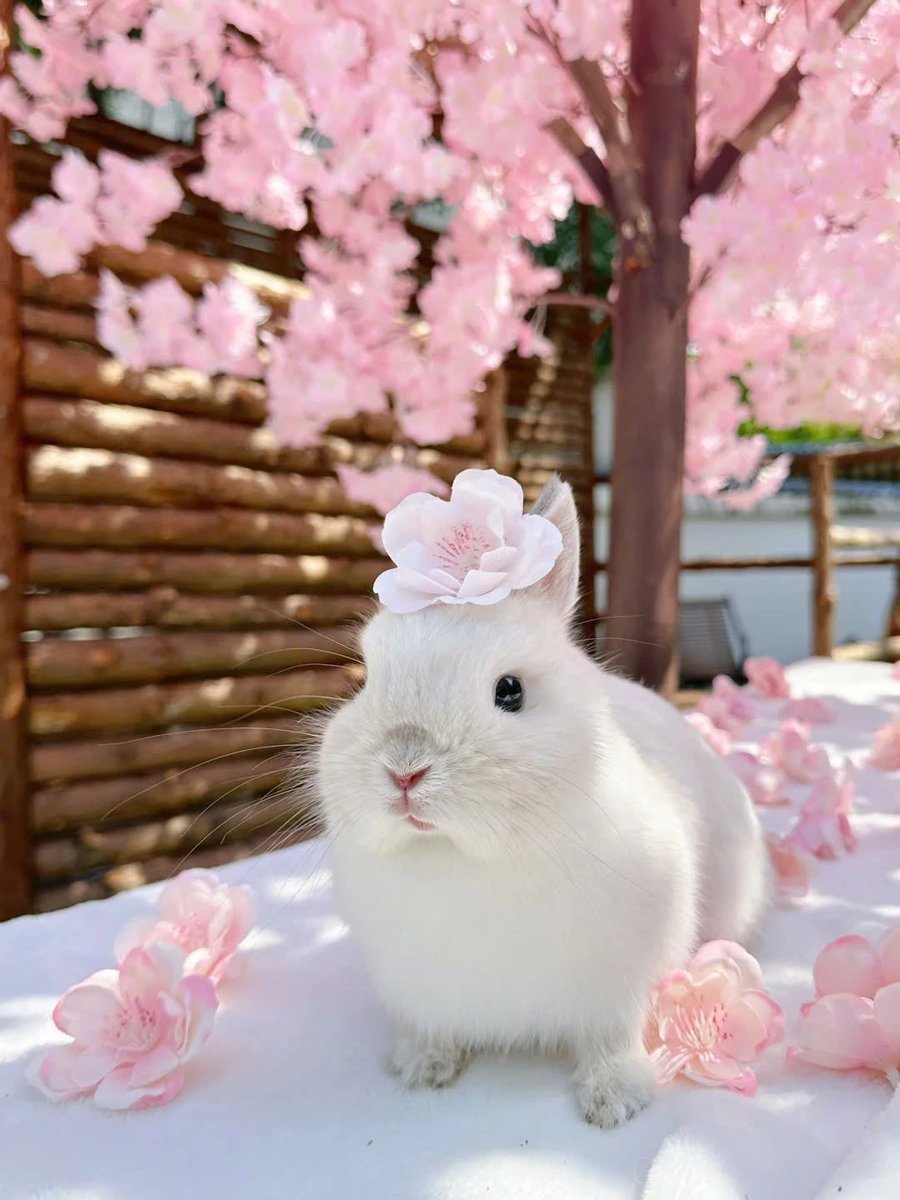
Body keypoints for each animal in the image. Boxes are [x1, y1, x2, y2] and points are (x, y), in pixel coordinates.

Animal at [316, 475, 771, 1128]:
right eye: (367, 678)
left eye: (510, 692)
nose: (404, 769)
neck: (464, 861)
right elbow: (431, 1029)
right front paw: (422, 1070)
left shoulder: (621, 980)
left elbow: (612, 1037)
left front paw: (614, 1101)